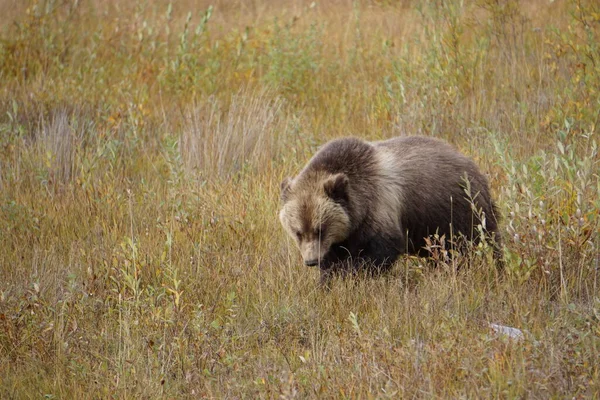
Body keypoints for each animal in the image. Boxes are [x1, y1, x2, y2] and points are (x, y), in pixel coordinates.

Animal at [278, 136, 504, 282]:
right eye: (298, 232)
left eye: (320, 229)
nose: (311, 261)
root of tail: (474, 166)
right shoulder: (344, 233)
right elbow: (333, 259)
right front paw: (329, 279)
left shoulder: (380, 207)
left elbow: (380, 251)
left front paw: (351, 274)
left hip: (460, 211)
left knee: (483, 241)